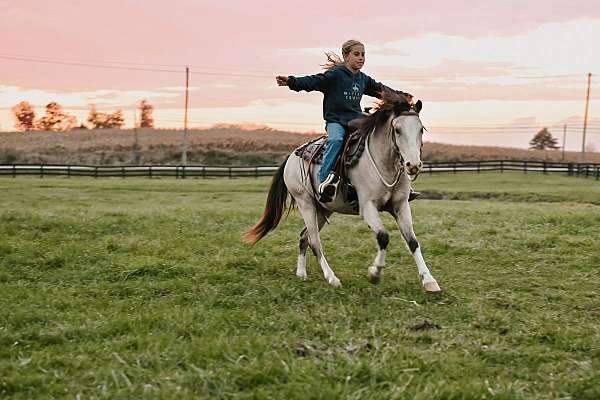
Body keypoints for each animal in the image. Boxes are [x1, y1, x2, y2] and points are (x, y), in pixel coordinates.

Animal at [243, 92, 440, 292]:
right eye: (397, 130)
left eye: (421, 130)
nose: (413, 165)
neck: (383, 164)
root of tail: (291, 156)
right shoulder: (367, 207)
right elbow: (383, 237)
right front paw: (374, 274)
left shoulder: (400, 206)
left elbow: (412, 242)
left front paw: (429, 280)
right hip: (305, 203)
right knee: (314, 241)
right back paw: (332, 278)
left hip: (323, 209)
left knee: (304, 236)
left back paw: (301, 273)